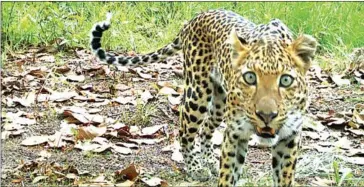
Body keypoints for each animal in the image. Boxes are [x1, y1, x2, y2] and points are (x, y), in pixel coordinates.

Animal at [89, 9, 318, 187]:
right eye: (250, 77)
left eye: (286, 80)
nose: (266, 116)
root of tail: (194, 18)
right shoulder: (235, 133)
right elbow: (228, 175)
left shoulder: (289, 138)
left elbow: (284, 176)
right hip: (197, 93)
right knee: (185, 132)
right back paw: (195, 168)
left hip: (219, 102)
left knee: (206, 128)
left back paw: (207, 160)